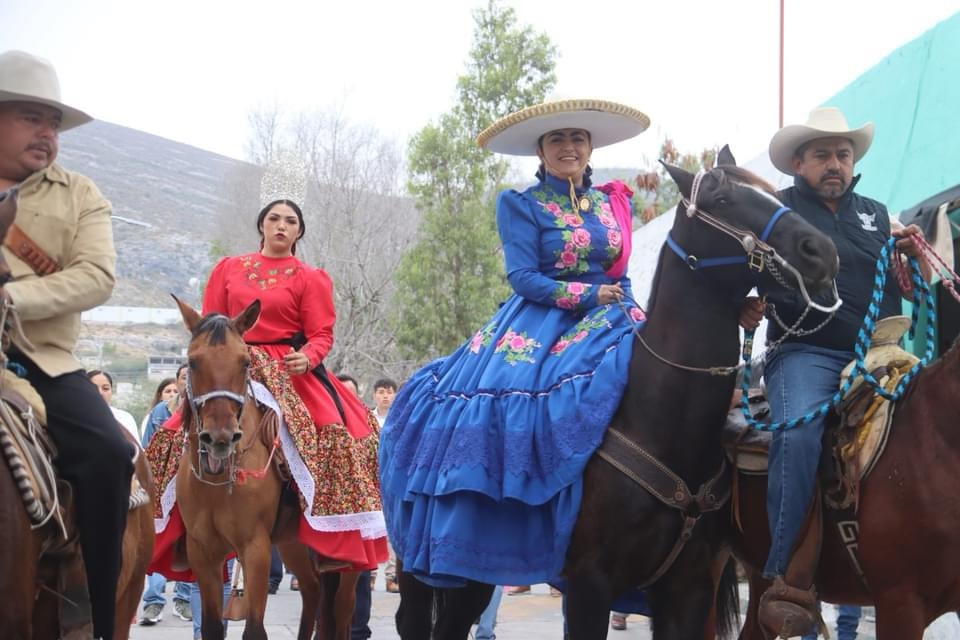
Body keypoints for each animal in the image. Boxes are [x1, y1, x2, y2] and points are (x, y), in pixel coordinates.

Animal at [174, 298, 362, 640]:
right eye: (193, 362)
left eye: (245, 362)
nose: (220, 436)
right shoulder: (202, 551)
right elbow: (211, 627)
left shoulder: (255, 547)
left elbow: (254, 629)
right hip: (293, 544)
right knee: (314, 591)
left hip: (349, 556)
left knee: (343, 607)